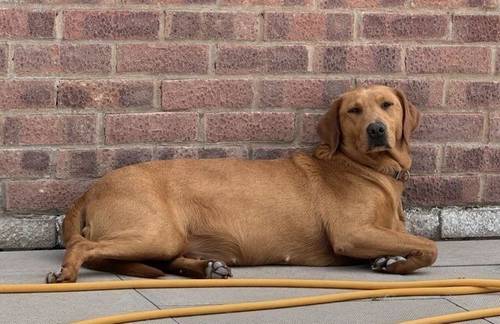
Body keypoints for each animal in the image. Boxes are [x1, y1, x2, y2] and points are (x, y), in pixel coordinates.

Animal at [47, 84, 438, 284]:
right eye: (353, 111)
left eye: (387, 105)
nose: (377, 130)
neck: (370, 169)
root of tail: (91, 188)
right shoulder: (351, 233)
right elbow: (430, 247)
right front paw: (400, 264)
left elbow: (409, 243)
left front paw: (390, 259)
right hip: (156, 232)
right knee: (84, 247)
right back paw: (66, 273)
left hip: (166, 239)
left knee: (162, 259)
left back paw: (205, 268)